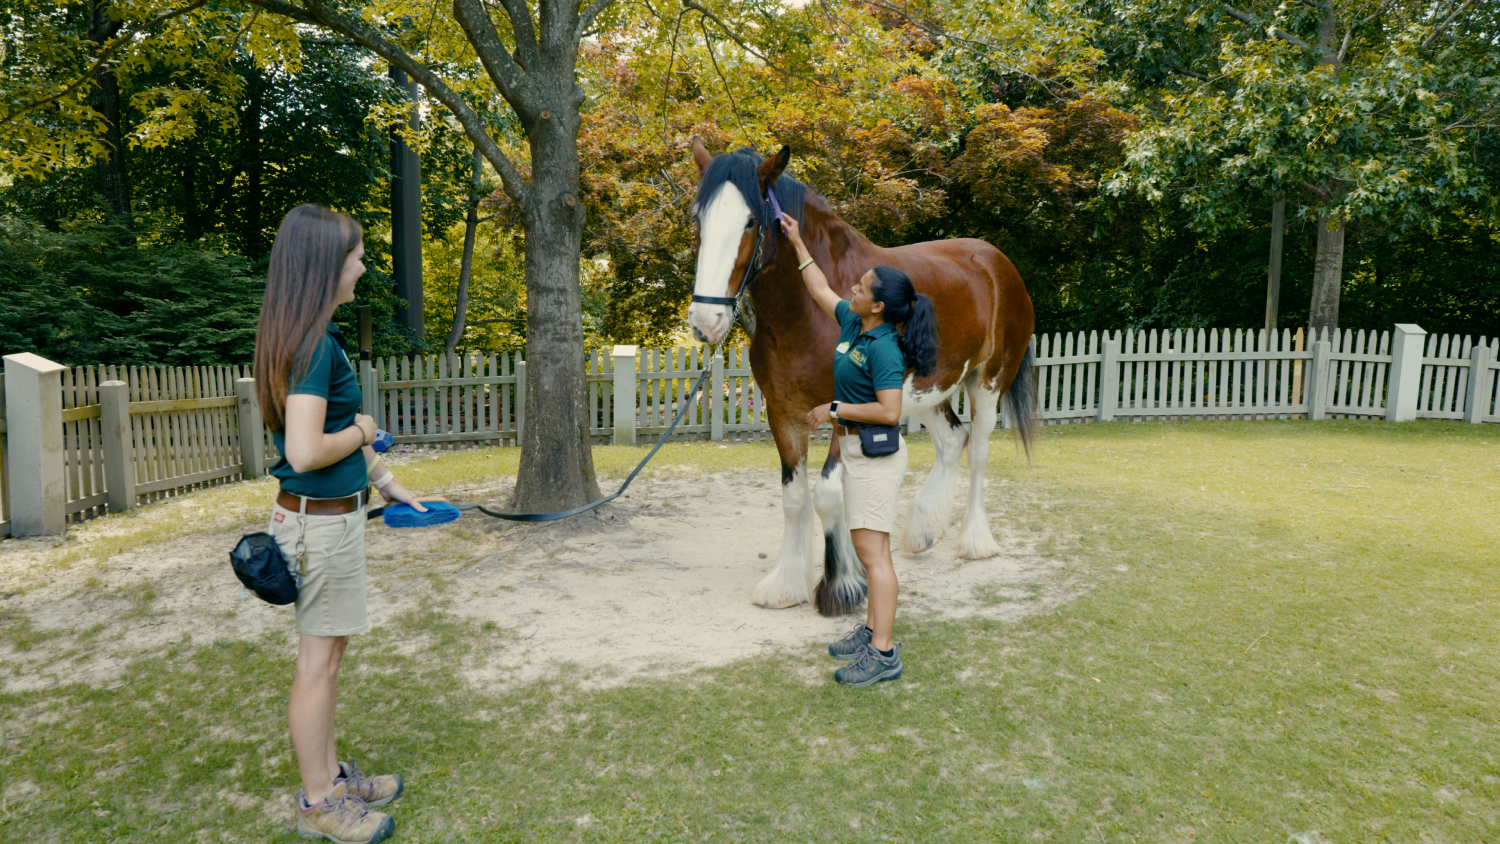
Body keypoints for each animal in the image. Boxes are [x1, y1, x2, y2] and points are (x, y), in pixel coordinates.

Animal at [686, 139, 1038, 615]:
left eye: (750, 221)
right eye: (698, 220)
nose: (706, 321)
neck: (806, 312)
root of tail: (998, 263)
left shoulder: (840, 410)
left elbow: (828, 493)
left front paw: (841, 587)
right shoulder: (783, 413)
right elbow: (794, 498)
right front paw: (786, 585)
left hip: (988, 381)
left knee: (979, 449)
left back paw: (975, 541)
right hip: (925, 391)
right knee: (953, 440)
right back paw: (923, 530)